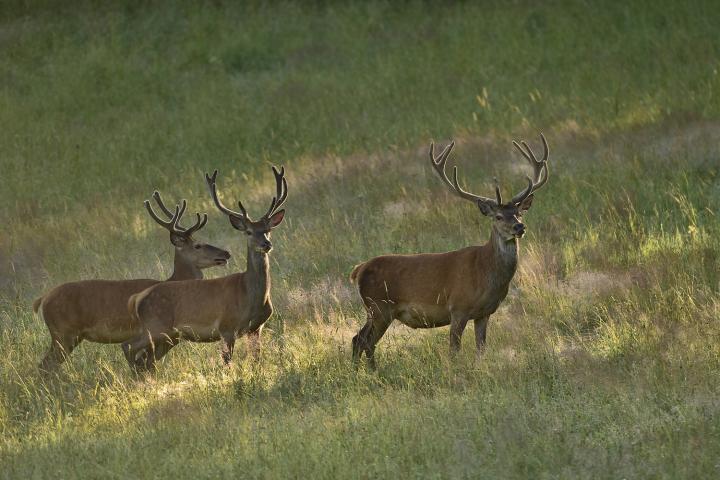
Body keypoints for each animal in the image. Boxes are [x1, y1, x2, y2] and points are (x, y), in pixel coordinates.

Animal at [33, 192, 231, 372]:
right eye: (198, 245)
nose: (226, 253)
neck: (175, 280)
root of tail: (44, 298)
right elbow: (145, 362)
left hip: (69, 336)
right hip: (63, 332)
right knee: (46, 366)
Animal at [125, 165, 288, 372]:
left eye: (268, 230)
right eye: (249, 232)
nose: (266, 244)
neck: (249, 295)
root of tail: (138, 299)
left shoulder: (256, 328)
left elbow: (256, 359)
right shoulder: (226, 326)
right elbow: (227, 361)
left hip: (166, 336)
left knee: (145, 359)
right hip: (155, 327)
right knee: (129, 346)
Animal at [352, 134, 548, 368]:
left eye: (519, 213)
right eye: (498, 217)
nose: (520, 227)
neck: (485, 271)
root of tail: (359, 269)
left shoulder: (485, 313)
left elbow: (481, 349)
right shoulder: (458, 307)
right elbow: (454, 350)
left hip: (375, 310)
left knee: (359, 339)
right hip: (379, 306)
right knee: (364, 341)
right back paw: (369, 372)